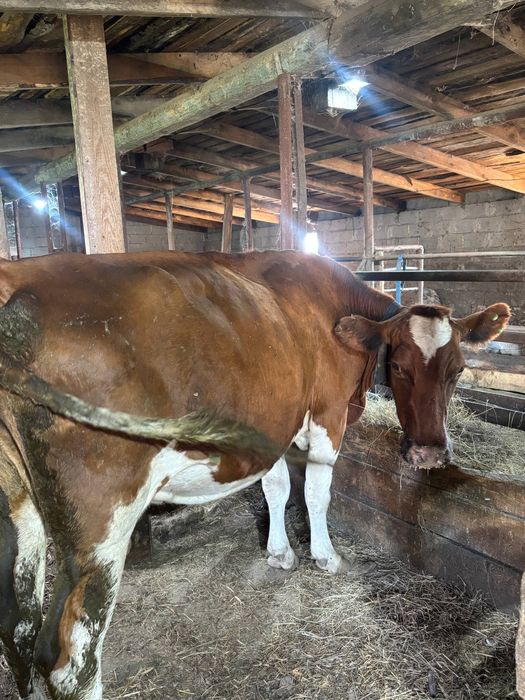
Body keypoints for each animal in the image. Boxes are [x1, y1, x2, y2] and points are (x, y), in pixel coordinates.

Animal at [0, 250, 509, 700]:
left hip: (19, 510)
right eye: (399, 365)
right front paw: (325, 556)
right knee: (69, 664)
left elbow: (276, 488)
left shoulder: (274, 423)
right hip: (102, 516)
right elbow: (317, 493)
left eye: (459, 370)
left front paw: (279, 553)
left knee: (18, 629)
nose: (428, 453)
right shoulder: (328, 416)